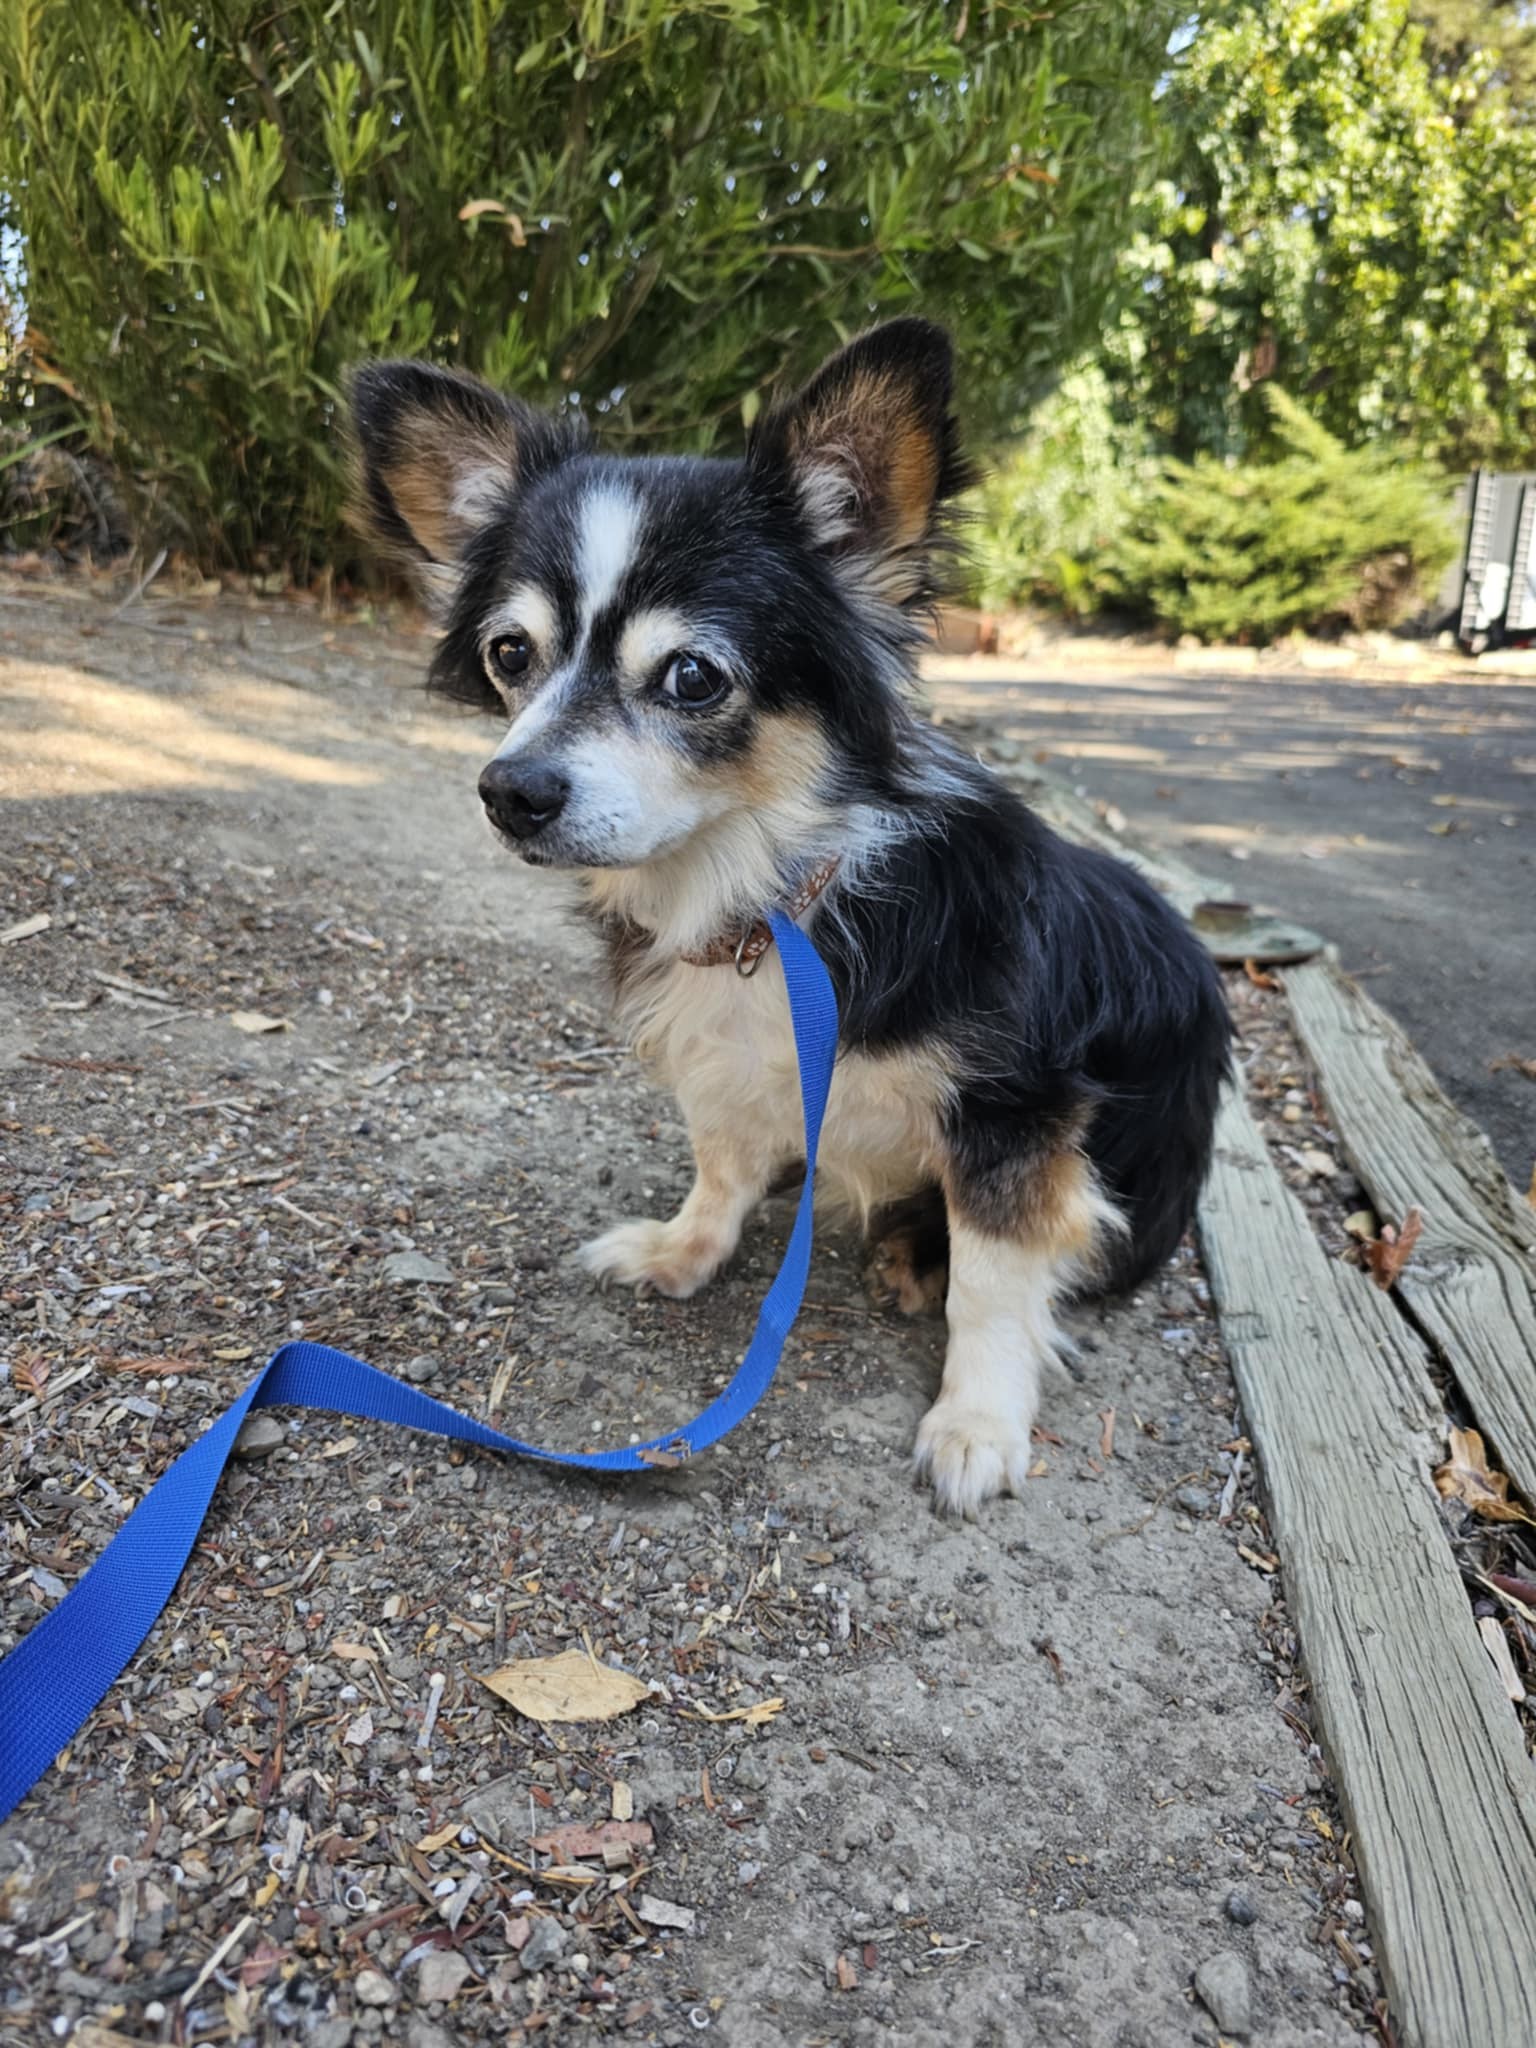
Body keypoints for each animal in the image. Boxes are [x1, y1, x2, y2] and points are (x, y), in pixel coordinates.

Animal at [352, 323, 1236, 1523]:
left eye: (691, 675)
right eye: (509, 654)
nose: (510, 792)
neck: (773, 903)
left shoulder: (1017, 1116)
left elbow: (996, 1287)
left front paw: (976, 1423)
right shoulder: (727, 1059)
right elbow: (722, 1163)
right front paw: (685, 1249)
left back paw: (916, 1259)